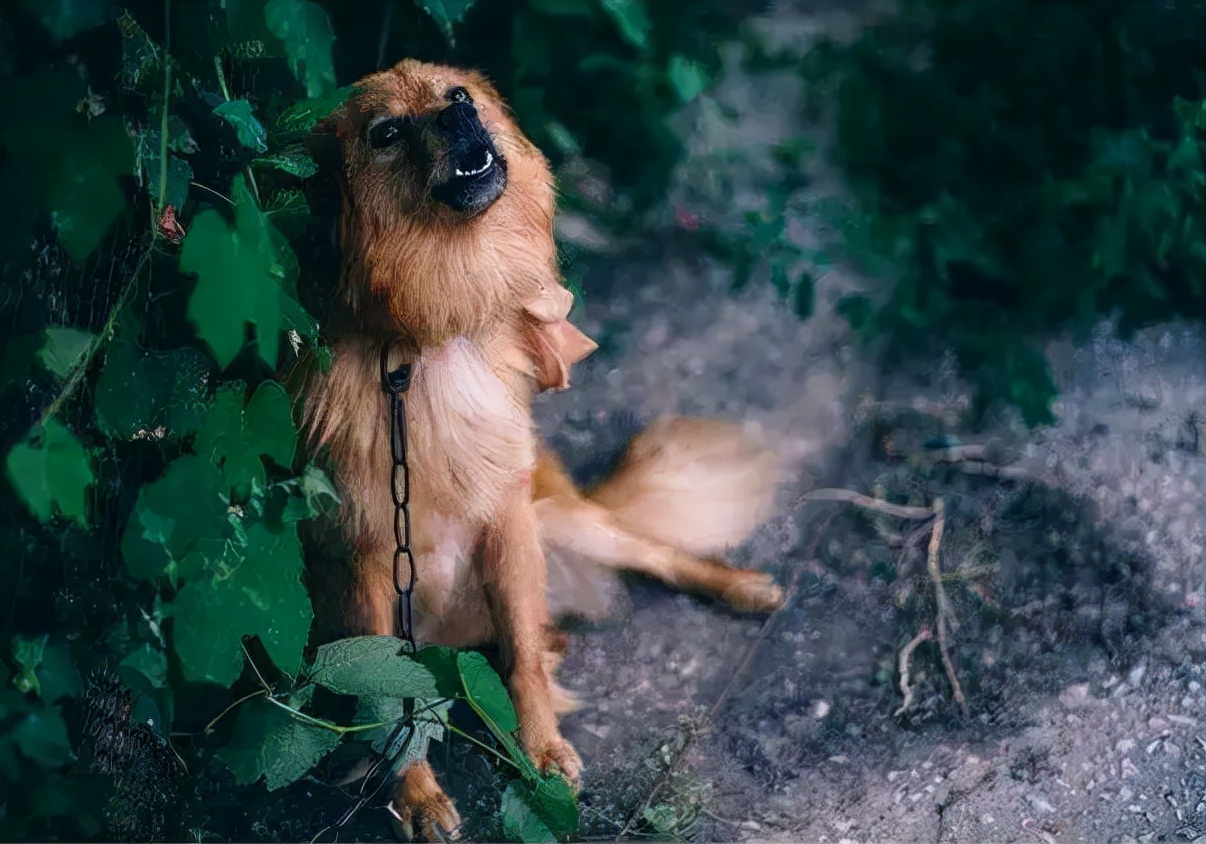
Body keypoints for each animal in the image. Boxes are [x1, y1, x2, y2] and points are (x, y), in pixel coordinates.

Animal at [303, 59, 781, 839]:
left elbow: (523, 653)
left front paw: (541, 752)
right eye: (387, 133)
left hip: (559, 517)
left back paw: (739, 587)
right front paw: (417, 797)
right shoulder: (367, 557)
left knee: (652, 552)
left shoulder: (507, 519)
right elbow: (387, 699)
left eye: (456, 95)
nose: (459, 118)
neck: (426, 336)